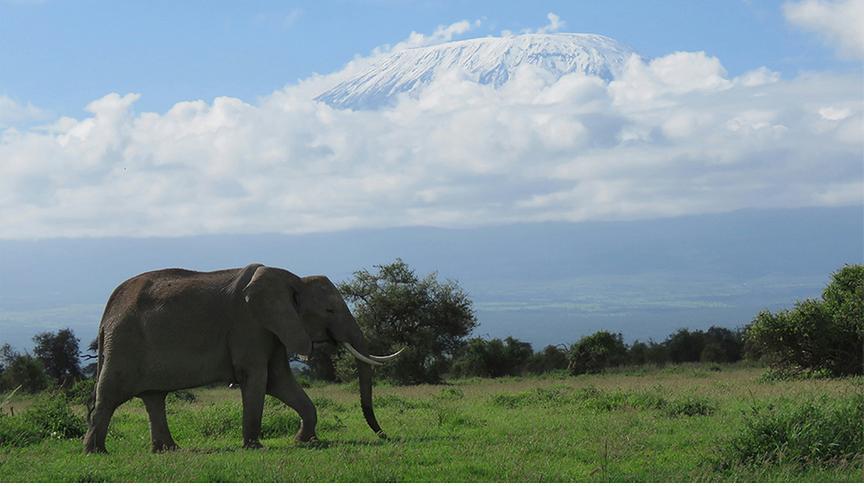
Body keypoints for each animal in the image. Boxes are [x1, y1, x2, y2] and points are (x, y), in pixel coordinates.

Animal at [83, 263, 401, 453]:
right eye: (330, 311)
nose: (385, 435)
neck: (293, 280)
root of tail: (106, 313)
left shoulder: (274, 329)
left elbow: (279, 381)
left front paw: (304, 440)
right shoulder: (250, 324)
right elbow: (258, 378)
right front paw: (255, 447)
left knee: (153, 398)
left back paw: (168, 450)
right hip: (124, 342)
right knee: (109, 396)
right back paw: (95, 452)